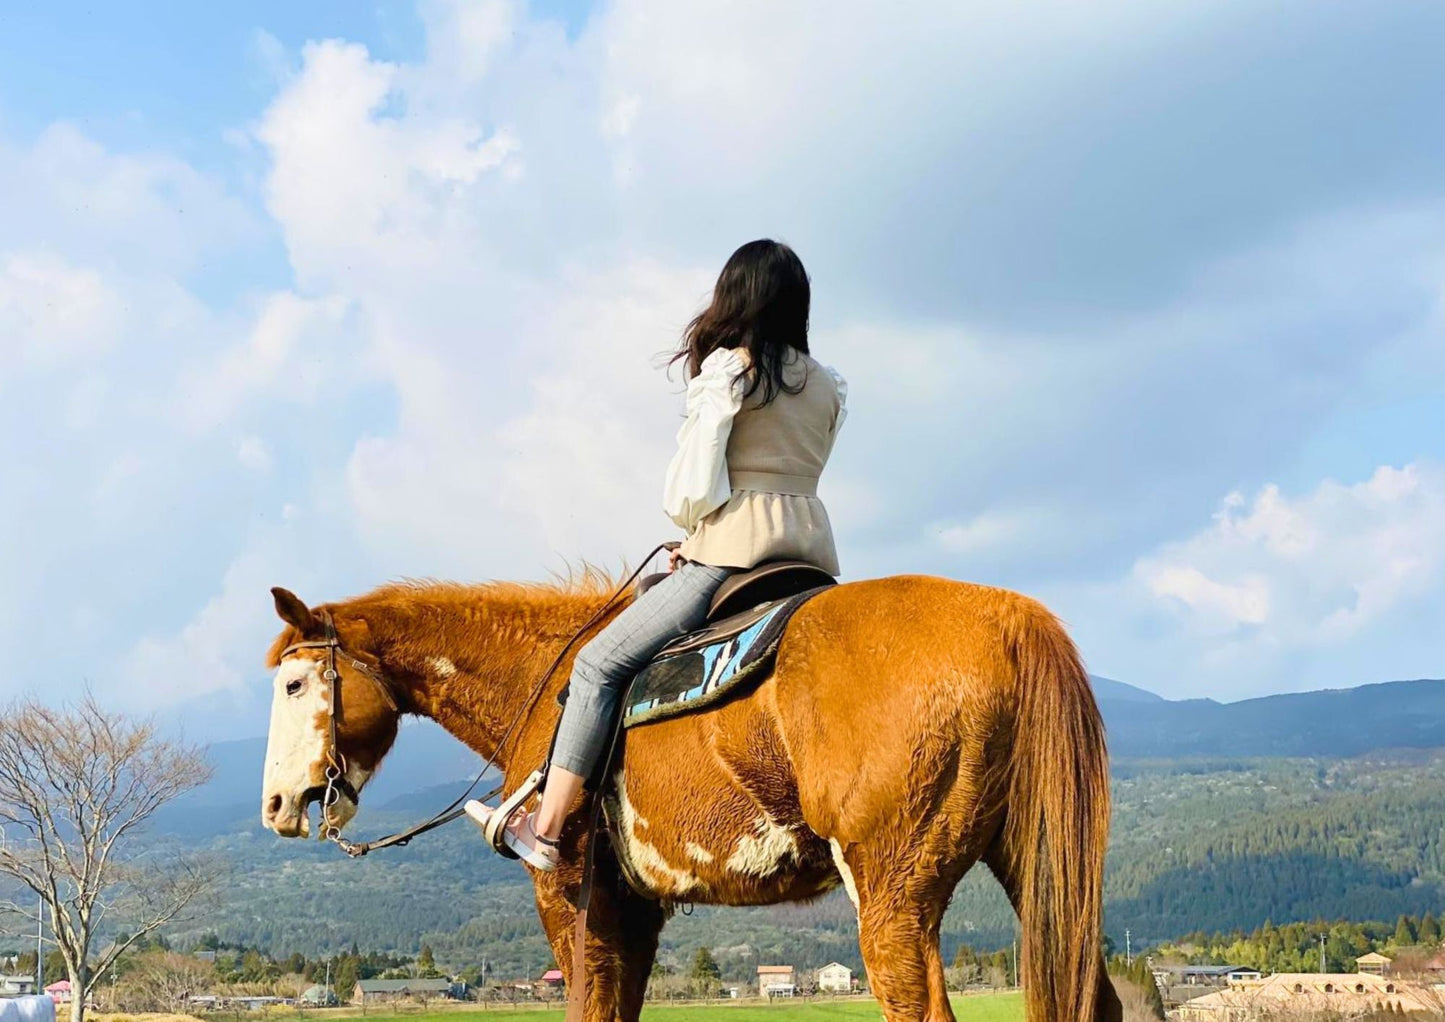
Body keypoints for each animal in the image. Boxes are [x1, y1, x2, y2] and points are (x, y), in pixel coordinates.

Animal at [260, 575, 1115, 1022]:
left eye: (295, 683)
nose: (275, 805)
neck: (546, 680)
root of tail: (1010, 617)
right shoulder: (632, 910)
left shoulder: (569, 896)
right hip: (1038, 874)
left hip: (893, 893)